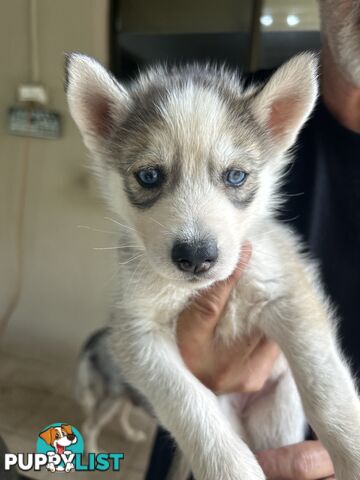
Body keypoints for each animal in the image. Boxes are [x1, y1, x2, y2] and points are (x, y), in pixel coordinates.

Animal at [75, 326, 148, 454]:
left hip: (126, 393)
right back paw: (93, 451)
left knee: (120, 416)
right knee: (90, 429)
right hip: (112, 398)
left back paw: (131, 434)